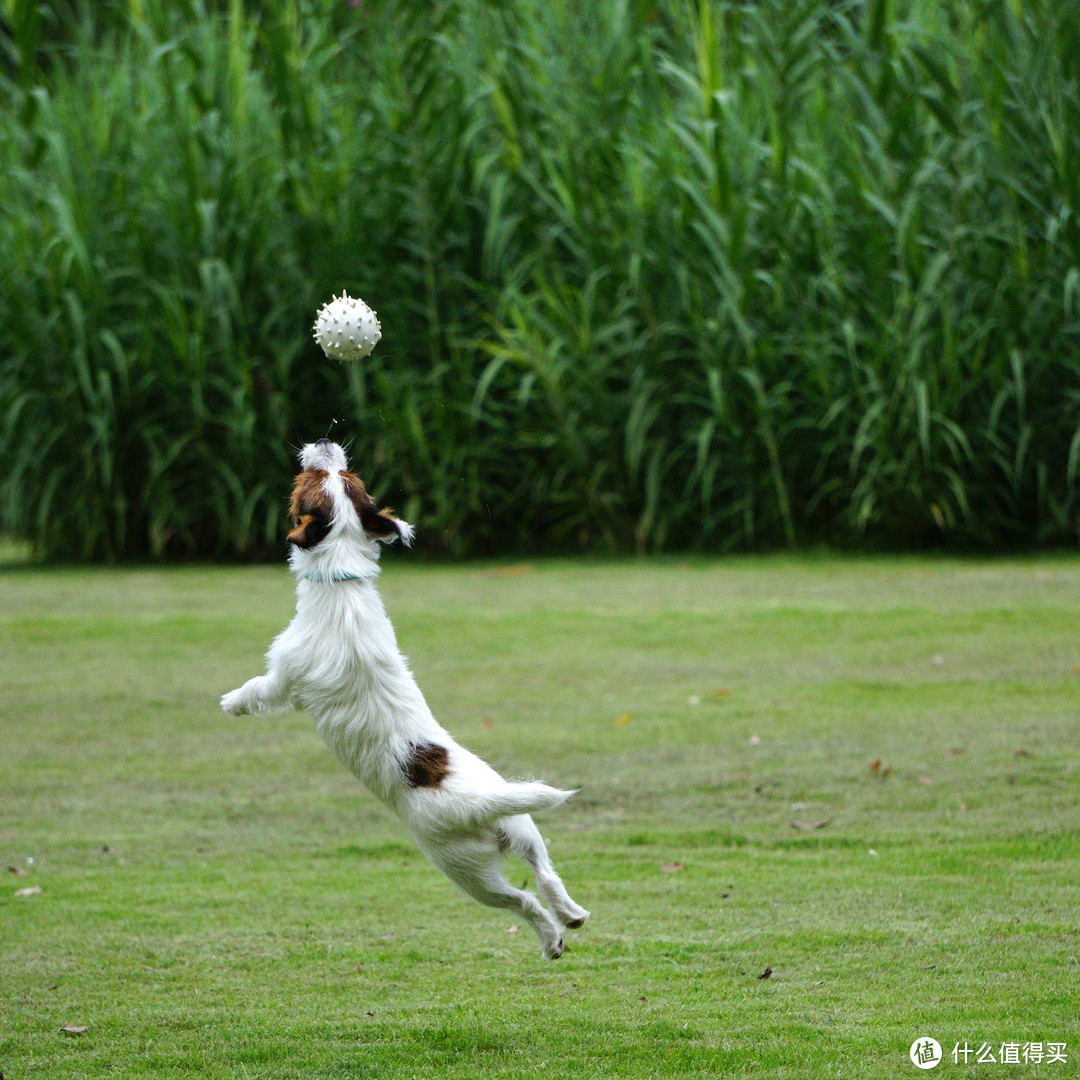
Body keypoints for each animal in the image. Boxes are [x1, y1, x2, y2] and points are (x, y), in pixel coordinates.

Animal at [221, 434, 591, 959]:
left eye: (310, 481)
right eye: (348, 477)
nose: (324, 440)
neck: (341, 582)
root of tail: (479, 804)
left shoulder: (284, 676)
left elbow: (259, 689)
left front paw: (231, 702)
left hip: (463, 869)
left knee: (521, 900)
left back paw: (551, 937)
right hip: (522, 826)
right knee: (545, 874)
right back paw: (572, 915)